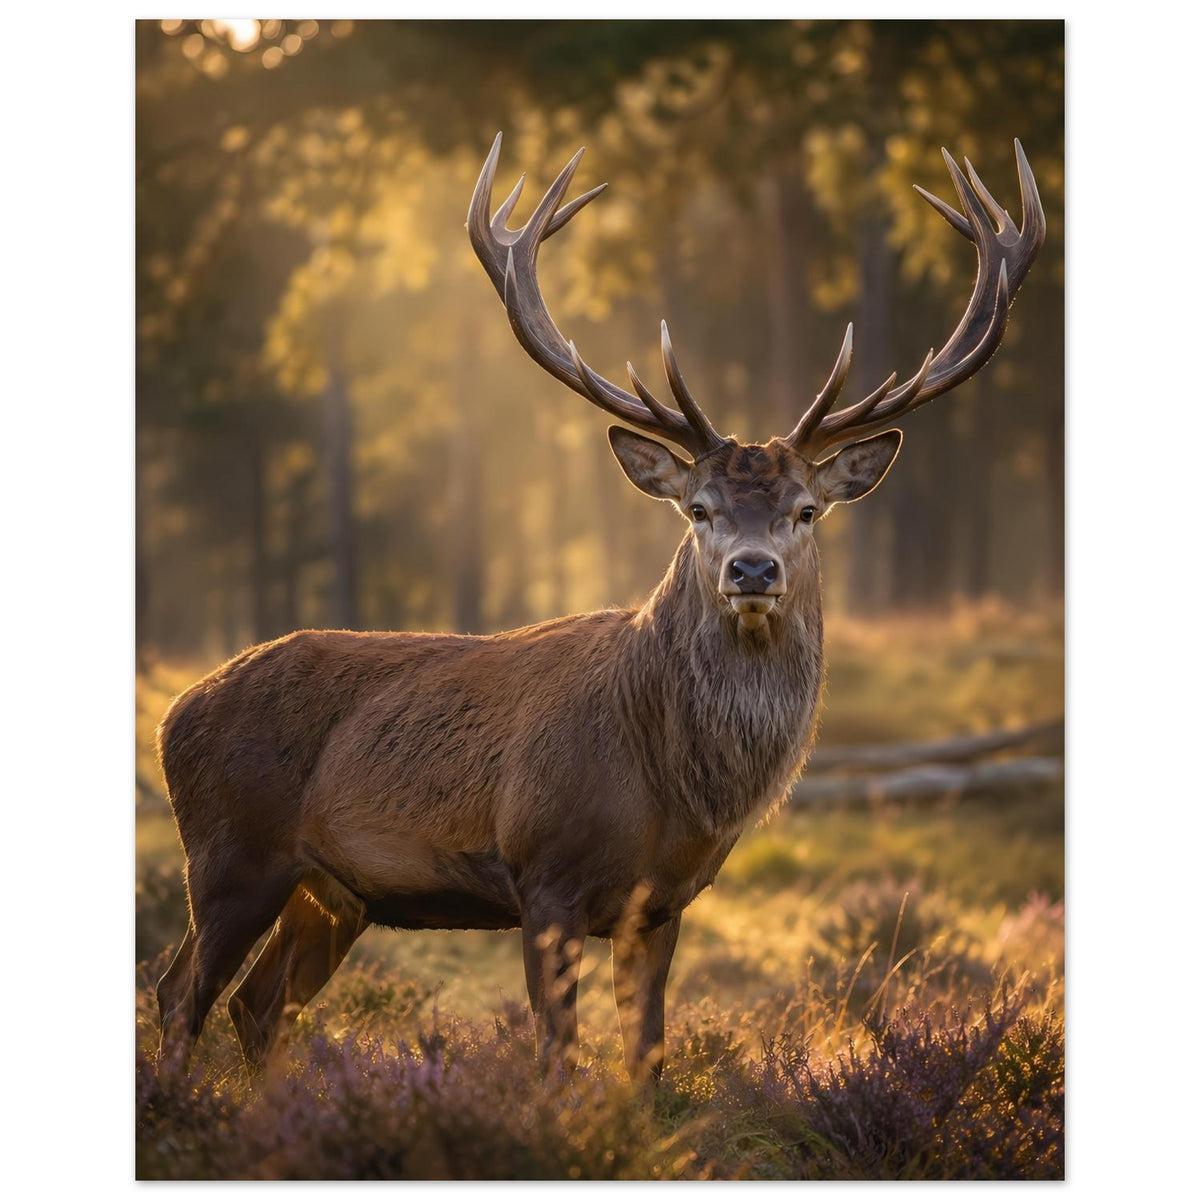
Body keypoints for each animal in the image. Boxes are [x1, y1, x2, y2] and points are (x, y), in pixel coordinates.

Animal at [153, 132, 1044, 1082]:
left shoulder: (663, 901)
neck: (667, 784)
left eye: (807, 510)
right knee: (182, 992)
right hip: (229, 852)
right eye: (699, 509)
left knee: (257, 1005)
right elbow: (555, 1055)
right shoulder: (543, 874)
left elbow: (645, 1057)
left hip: (335, 890)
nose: (753, 569)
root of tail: (176, 711)